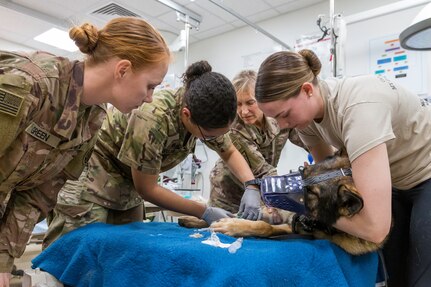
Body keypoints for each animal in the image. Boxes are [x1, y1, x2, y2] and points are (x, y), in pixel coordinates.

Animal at [177, 152, 386, 255]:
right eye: (302, 172)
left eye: (312, 192)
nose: (267, 188)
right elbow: (259, 223)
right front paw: (230, 224)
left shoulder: (294, 227)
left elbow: (265, 227)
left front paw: (232, 226)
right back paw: (196, 219)